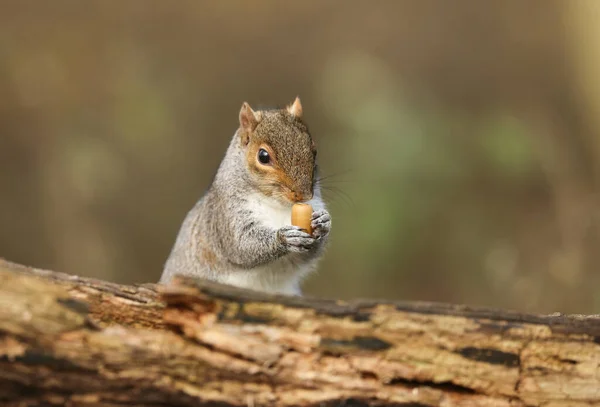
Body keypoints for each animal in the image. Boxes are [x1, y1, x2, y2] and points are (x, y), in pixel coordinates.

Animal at [159, 99, 330, 296]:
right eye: (263, 156)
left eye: (314, 150)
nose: (304, 195)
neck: (278, 204)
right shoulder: (226, 215)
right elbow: (242, 244)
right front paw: (284, 237)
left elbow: (307, 255)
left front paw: (323, 221)